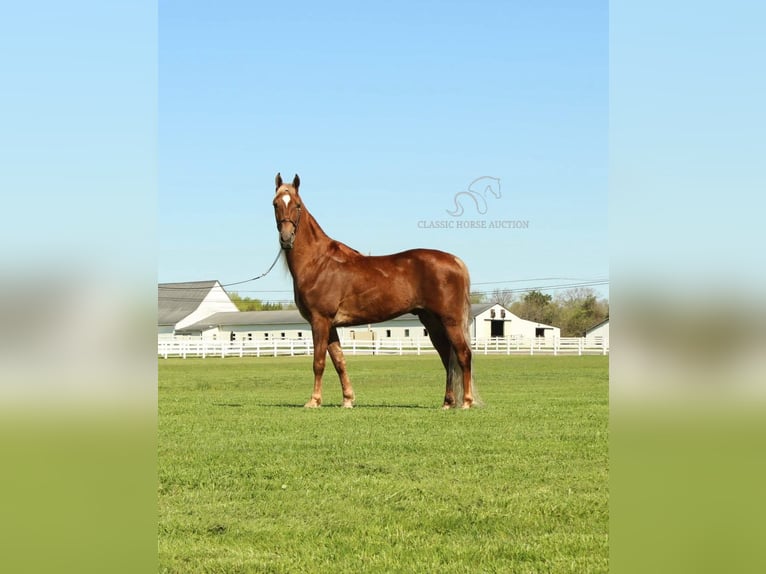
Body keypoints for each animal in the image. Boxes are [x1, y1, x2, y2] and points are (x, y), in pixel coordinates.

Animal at [272, 172, 480, 410]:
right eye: (275, 204)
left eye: (297, 205)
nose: (286, 238)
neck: (318, 262)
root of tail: (455, 261)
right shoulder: (330, 325)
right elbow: (339, 361)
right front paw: (348, 400)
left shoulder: (320, 320)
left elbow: (319, 362)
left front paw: (314, 401)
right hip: (432, 322)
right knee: (447, 357)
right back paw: (447, 402)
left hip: (450, 320)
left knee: (463, 355)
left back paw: (466, 402)